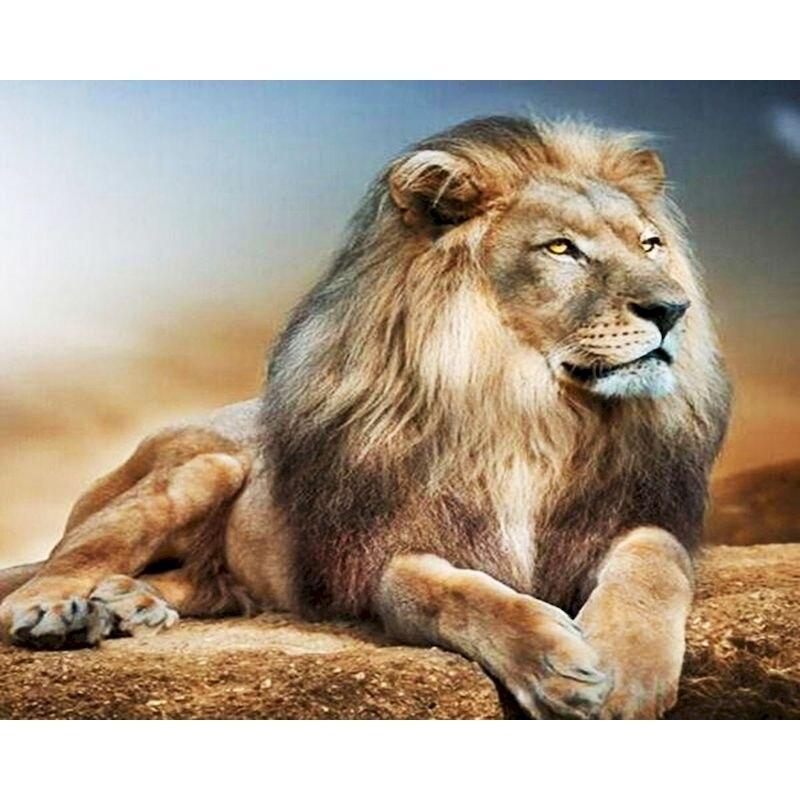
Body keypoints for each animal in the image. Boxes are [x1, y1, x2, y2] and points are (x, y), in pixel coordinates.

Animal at [0, 116, 730, 719]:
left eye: (650, 244)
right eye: (560, 250)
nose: (673, 310)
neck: (528, 412)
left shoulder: (627, 514)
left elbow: (654, 556)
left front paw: (627, 669)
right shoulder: (383, 548)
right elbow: (437, 590)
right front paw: (553, 662)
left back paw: (130, 604)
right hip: (205, 465)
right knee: (59, 563)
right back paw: (60, 610)